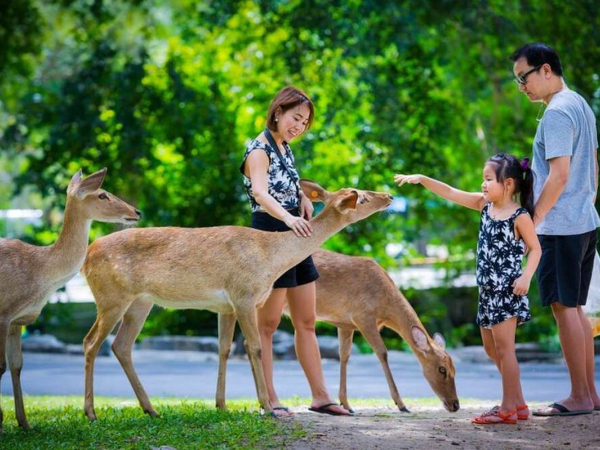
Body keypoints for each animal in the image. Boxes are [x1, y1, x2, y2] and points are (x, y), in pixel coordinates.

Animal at [0, 167, 140, 430]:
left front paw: (24, 424)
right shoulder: (3, 313)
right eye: (102, 194)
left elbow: (16, 365)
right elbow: (1, 366)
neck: (38, 272)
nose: (137, 212)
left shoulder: (17, 319)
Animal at [79, 178, 392, 420]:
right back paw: (91, 413)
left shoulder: (227, 305)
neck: (271, 257)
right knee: (91, 342)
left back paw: (151, 410)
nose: (388, 196)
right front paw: (268, 408)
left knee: (121, 345)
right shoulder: (243, 295)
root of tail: (86, 257)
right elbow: (256, 347)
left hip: (141, 302)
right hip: (111, 295)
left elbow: (225, 349)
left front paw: (223, 405)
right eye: (362, 197)